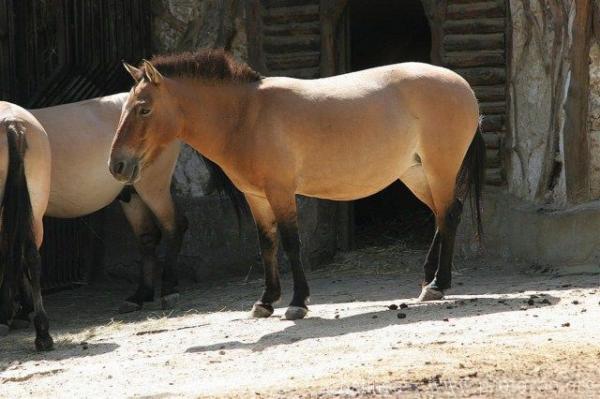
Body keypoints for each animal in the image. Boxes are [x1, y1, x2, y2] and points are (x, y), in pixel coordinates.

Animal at [28, 95, 186, 314]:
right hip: (131, 195)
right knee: (147, 237)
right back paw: (139, 297)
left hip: (153, 186)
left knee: (173, 226)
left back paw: (169, 292)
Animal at [112, 50, 486, 322]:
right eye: (124, 108)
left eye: (143, 109)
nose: (116, 165)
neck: (246, 116)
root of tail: (463, 85)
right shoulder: (256, 197)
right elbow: (267, 245)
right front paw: (265, 302)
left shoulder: (280, 193)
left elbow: (292, 243)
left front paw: (297, 303)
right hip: (415, 173)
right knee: (441, 214)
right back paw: (427, 282)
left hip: (440, 168)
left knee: (449, 215)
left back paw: (439, 284)